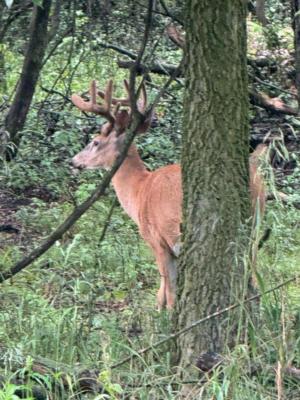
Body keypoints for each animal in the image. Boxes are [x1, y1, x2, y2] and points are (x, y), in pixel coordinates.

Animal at [71, 78, 266, 310]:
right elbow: (162, 293)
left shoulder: (157, 239)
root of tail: (257, 185)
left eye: (95, 142)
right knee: (254, 276)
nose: (74, 161)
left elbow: (169, 293)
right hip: (255, 227)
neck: (139, 190)